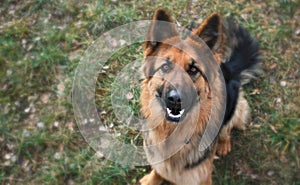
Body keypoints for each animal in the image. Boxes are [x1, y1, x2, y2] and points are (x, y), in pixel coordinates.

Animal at [140, 8, 260, 185]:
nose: (175, 99)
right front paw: (152, 179)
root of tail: (229, 68)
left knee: (228, 127)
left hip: (235, 105)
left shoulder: (202, 176)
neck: (173, 132)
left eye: (193, 69)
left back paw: (223, 144)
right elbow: (158, 169)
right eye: (166, 67)